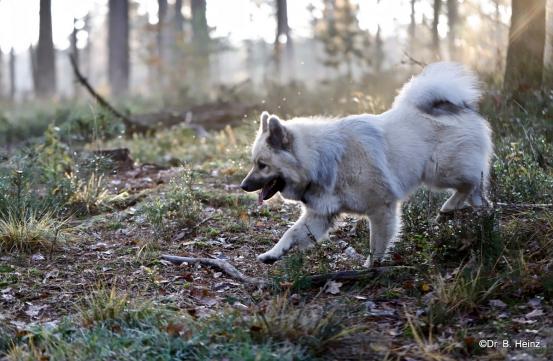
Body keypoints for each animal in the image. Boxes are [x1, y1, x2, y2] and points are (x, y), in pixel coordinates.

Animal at [239, 62, 490, 266]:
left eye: (262, 165)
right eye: (254, 163)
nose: (243, 186)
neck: (323, 159)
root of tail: (460, 107)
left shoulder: (381, 208)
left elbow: (376, 244)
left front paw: (371, 268)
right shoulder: (319, 215)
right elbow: (290, 233)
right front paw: (272, 253)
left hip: (440, 172)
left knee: (471, 183)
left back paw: (452, 207)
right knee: (476, 190)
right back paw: (474, 212)